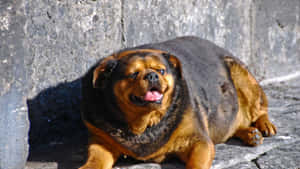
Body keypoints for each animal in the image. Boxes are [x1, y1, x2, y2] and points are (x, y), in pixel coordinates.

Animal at [79, 36, 276, 169]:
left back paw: (263, 125)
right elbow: (96, 158)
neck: (144, 124)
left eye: (161, 70)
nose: (152, 75)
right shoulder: (101, 140)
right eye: (133, 74)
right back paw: (249, 133)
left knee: (259, 108)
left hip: (241, 74)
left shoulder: (199, 141)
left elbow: (199, 157)